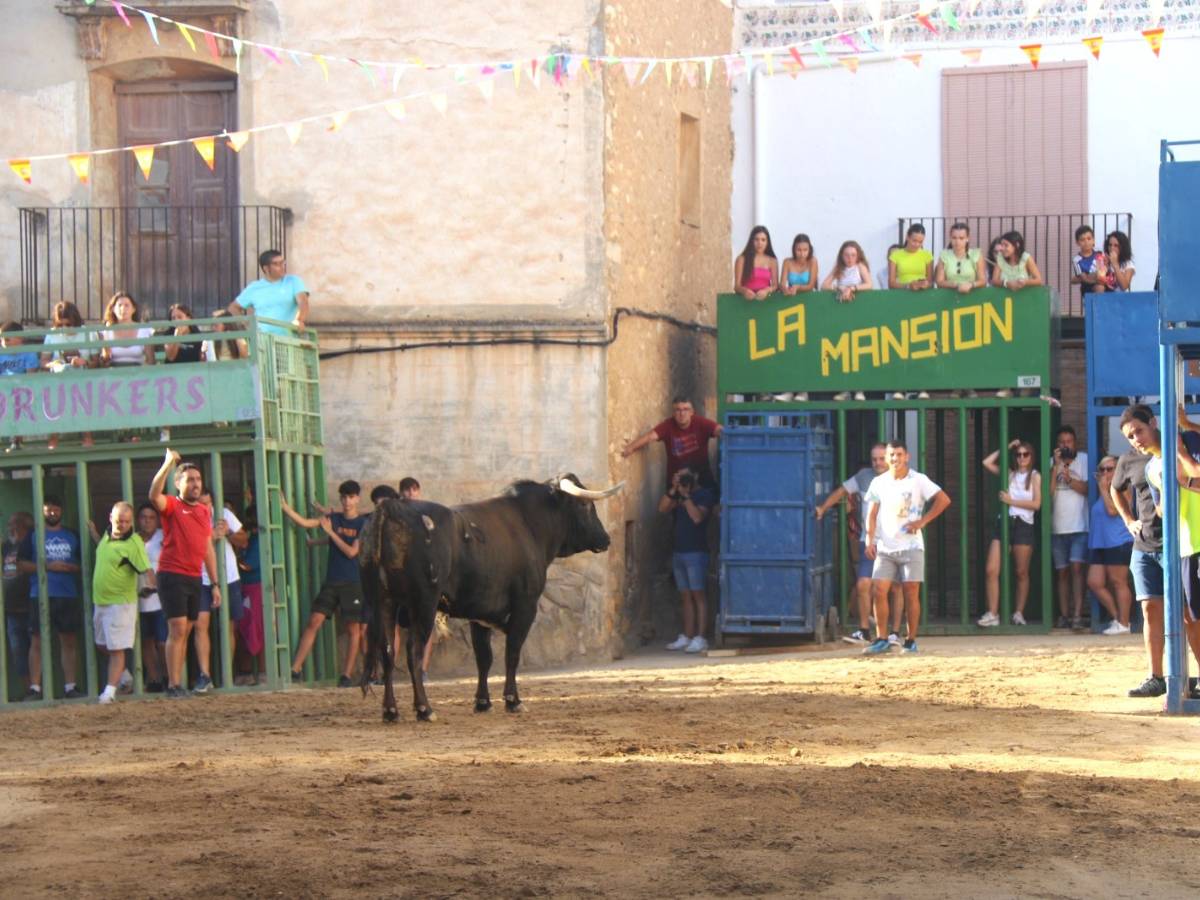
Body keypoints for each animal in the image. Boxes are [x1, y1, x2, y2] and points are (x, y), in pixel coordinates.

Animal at [357, 475, 624, 724]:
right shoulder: (525, 606)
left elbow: (483, 657)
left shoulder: (479, 613)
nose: (606, 539)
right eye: (585, 505)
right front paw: (513, 700)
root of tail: (391, 507)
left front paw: (483, 702)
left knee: (388, 652)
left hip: (383, 603)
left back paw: (391, 711)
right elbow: (512, 652)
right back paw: (425, 709)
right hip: (423, 604)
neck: (529, 524)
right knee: (414, 651)